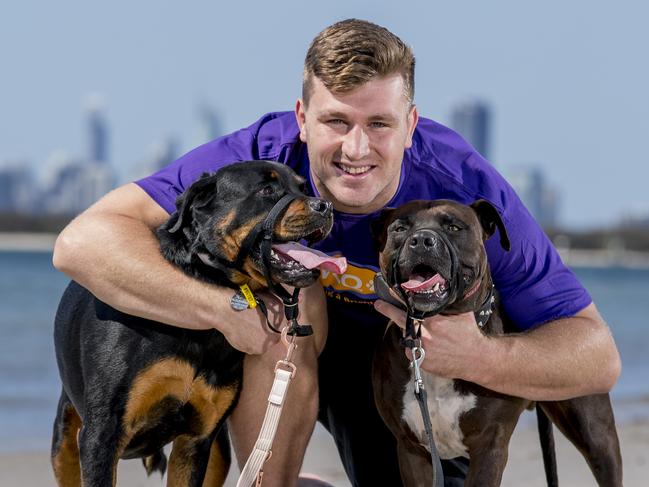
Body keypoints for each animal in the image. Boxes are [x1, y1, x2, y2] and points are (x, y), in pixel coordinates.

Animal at [50, 162, 344, 486]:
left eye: (303, 188)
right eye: (266, 190)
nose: (325, 205)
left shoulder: (197, 439)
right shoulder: (103, 434)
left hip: (218, 452)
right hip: (65, 440)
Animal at [370, 199, 624, 487]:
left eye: (454, 227)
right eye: (400, 229)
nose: (422, 240)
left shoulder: (489, 446)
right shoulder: (412, 449)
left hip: (597, 433)